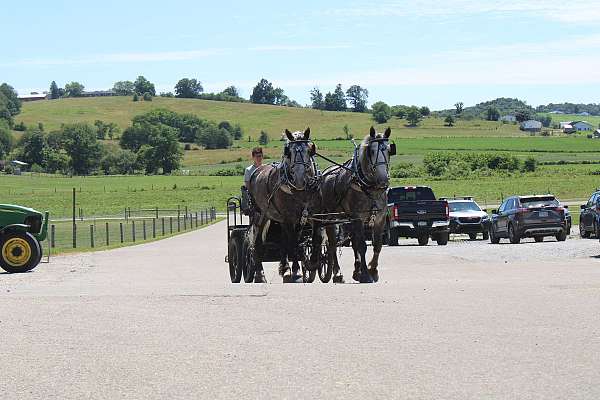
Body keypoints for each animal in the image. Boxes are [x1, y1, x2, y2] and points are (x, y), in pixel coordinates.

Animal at [246, 127, 318, 282]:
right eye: (288, 152)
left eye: (309, 150)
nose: (299, 179)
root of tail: (257, 170)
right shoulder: (289, 218)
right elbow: (293, 242)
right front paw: (296, 270)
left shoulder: (304, 218)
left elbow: (301, 239)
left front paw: (304, 265)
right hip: (260, 215)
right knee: (257, 243)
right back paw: (259, 273)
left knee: (283, 240)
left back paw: (284, 266)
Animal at [316, 126, 396, 282]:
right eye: (372, 151)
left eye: (389, 150)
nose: (383, 180)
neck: (367, 186)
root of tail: (325, 173)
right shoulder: (358, 218)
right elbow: (362, 246)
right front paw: (365, 274)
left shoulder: (379, 219)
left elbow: (377, 245)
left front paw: (372, 270)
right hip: (330, 218)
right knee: (332, 244)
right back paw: (337, 273)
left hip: (347, 220)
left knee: (351, 243)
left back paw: (355, 271)